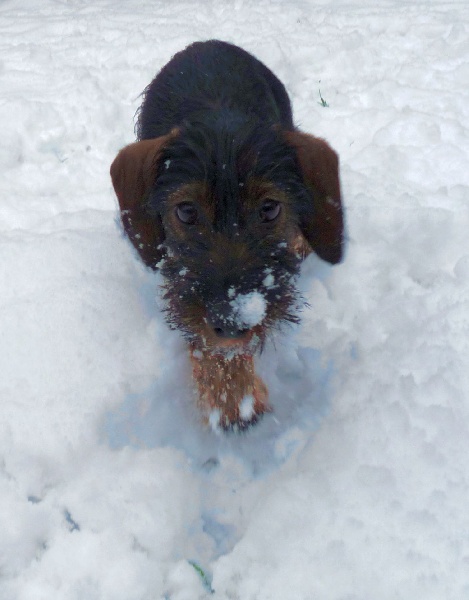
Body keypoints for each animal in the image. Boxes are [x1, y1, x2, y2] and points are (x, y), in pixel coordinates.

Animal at [110, 39, 344, 432]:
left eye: (270, 209)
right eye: (186, 211)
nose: (232, 321)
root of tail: (207, 43)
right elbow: (204, 337)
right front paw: (231, 394)